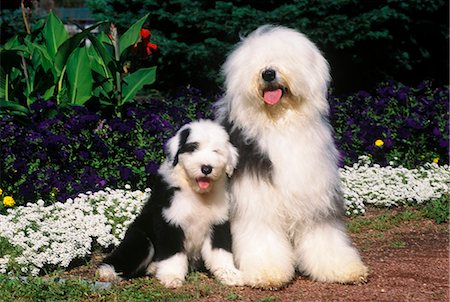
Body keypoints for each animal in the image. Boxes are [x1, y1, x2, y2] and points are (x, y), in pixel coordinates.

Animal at [96, 119, 243, 288]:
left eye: (216, 151)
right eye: (193, 148)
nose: (206, 168)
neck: (197, 193)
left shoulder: (218, 223)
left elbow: (220, 251)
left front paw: (229, 273)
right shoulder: (170, 221)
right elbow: (173, 254)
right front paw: (172, 277)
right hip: (141, 240)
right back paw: (107, 272)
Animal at [215, 24, 370, 290]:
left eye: (286, 57)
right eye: (254, 61)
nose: (268, 73)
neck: (280, 123)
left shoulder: (315, 194)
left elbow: (324, 235)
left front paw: (340, 267)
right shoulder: (256, 201)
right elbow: (262, 236)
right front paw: (268, 273)